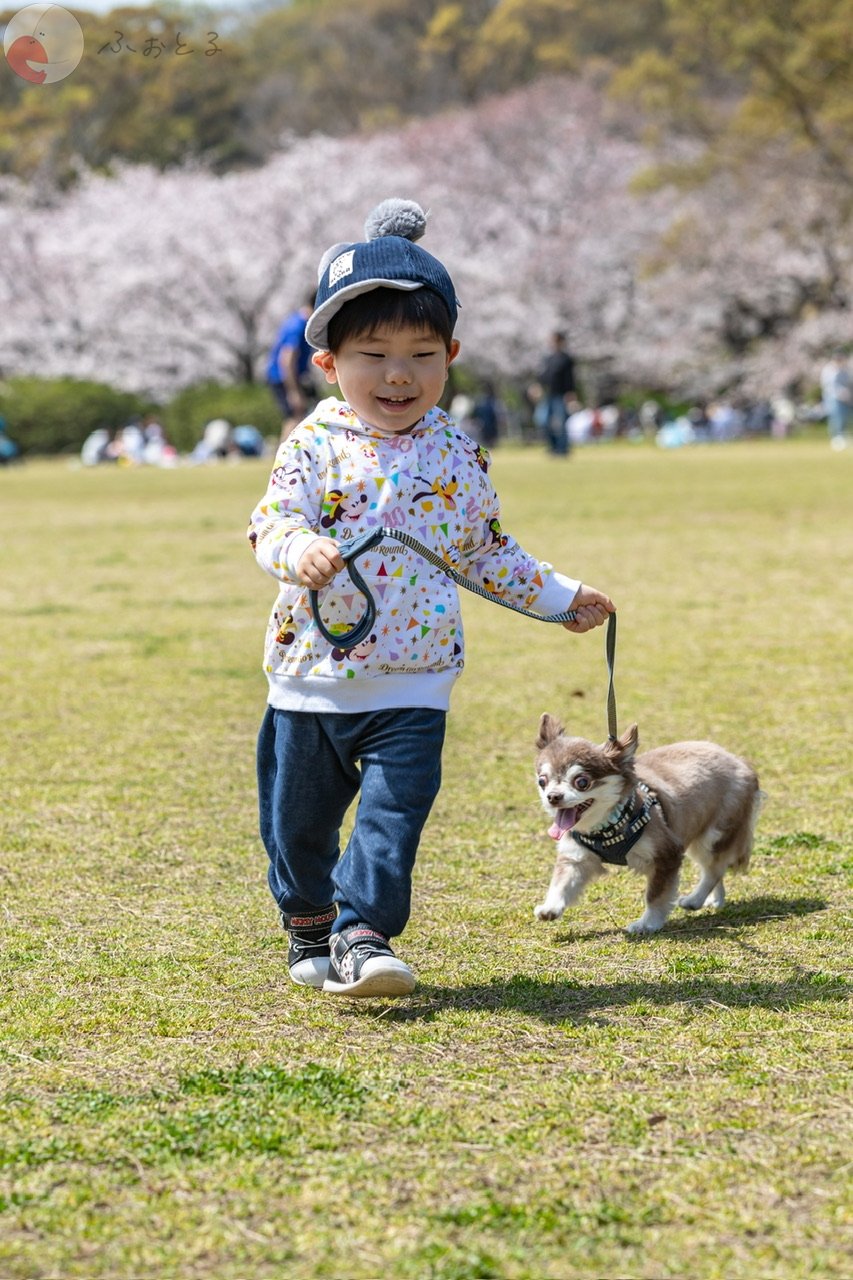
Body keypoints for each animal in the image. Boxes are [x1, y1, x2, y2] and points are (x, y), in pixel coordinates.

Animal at [532, 716, 763, 936]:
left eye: (581, 782)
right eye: (542, 781)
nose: (553, 797)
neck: (607, 827)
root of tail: (739, 761)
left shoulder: (667, 854)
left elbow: (656, 895)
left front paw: (647, 924)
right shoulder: (576, 857)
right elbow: (562, 883)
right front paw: (550, 908)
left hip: (713, 835)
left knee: (713, 869)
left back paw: (695, 900)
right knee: (716, 869)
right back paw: (714, 900)